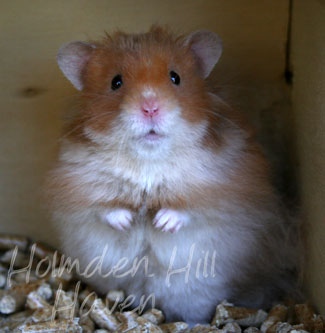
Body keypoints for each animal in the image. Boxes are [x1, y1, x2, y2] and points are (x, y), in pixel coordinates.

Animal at [46, 26, 298, 324]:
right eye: (115, 82)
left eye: (175, 77)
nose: (150, 107)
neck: (149, 158)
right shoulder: (81, 183)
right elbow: (105, 209)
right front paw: (129, 221)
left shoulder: (222, 189)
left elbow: (190, 210)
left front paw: (161, 222)